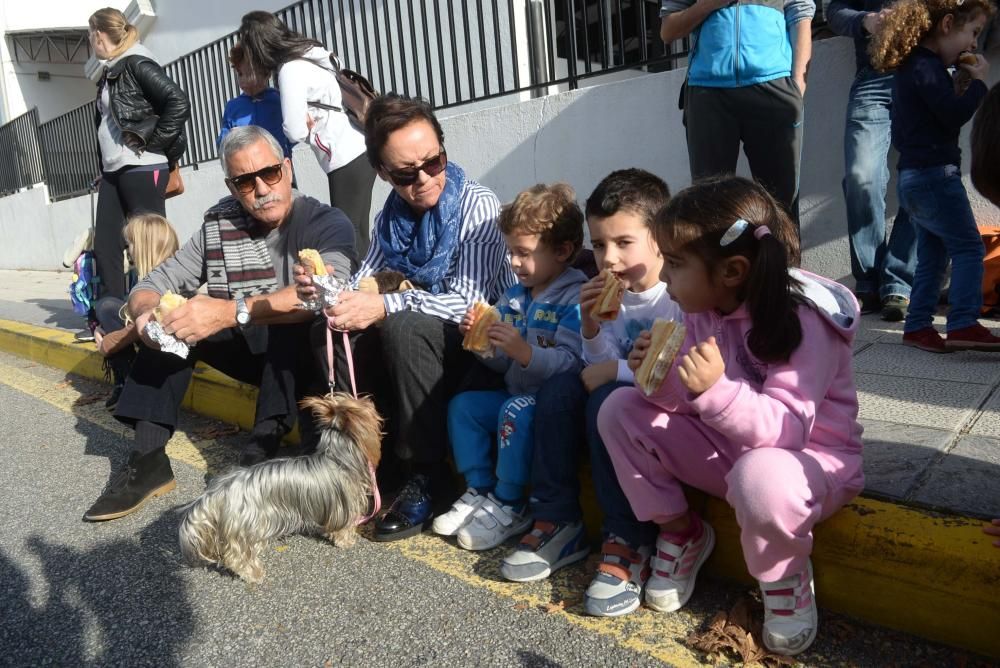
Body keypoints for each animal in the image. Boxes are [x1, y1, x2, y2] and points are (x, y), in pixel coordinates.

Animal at [180, 394, 382, 580]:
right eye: (364, 405)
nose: (371, 400)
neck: (338, 456)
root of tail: (221, 490)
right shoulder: (345, 504)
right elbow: (342, 528)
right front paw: (346, 542)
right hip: (251, 525)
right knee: (238, 554)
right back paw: (254, 574)